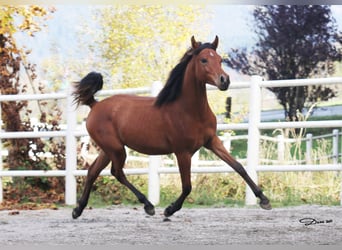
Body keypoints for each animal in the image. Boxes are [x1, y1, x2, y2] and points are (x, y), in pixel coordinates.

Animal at [71, 35, 272, 219]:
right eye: (203, 60)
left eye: (220, 59)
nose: (224, 80)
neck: (189, 111)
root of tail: (95, 105)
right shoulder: (182, 152)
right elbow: (187, 186)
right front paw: (170, 209)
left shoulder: (212, 141)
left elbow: (238, 166)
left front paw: (264, 200)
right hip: (116, 149)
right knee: (117, 172)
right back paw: (148, 206)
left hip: (109, 150)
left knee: (93, 171)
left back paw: (77, 210)